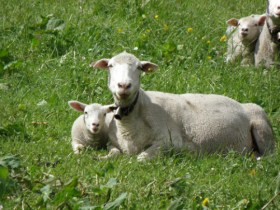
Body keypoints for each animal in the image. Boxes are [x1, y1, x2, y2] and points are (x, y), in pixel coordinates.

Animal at [92, 52, 276, 161]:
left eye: (139, 67)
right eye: (110, 66)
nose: (124, 85)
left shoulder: (169, 143)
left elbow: (141, 158)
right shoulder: (113, 143)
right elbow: (114, 153)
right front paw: (101, 158)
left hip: (262, 128)